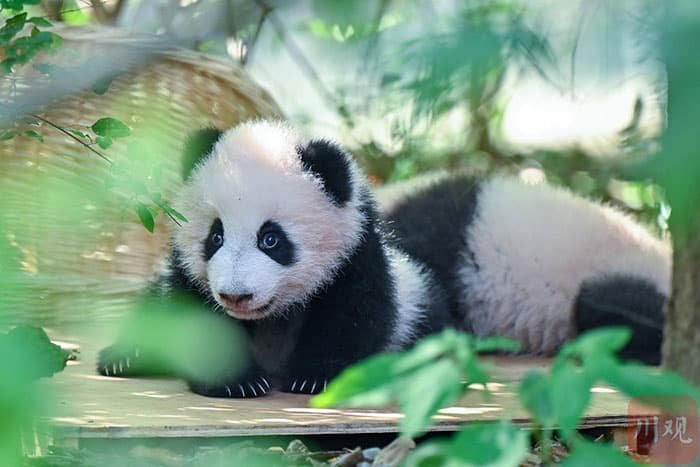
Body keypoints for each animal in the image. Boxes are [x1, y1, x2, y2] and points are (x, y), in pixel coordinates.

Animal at [98, 120, 671, 398]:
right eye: (214, 237)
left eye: (272, 240)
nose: (236, 294)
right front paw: (233, 378)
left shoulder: (362, 265)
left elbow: (355, 317)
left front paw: (313, 376)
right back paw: (125, 356)